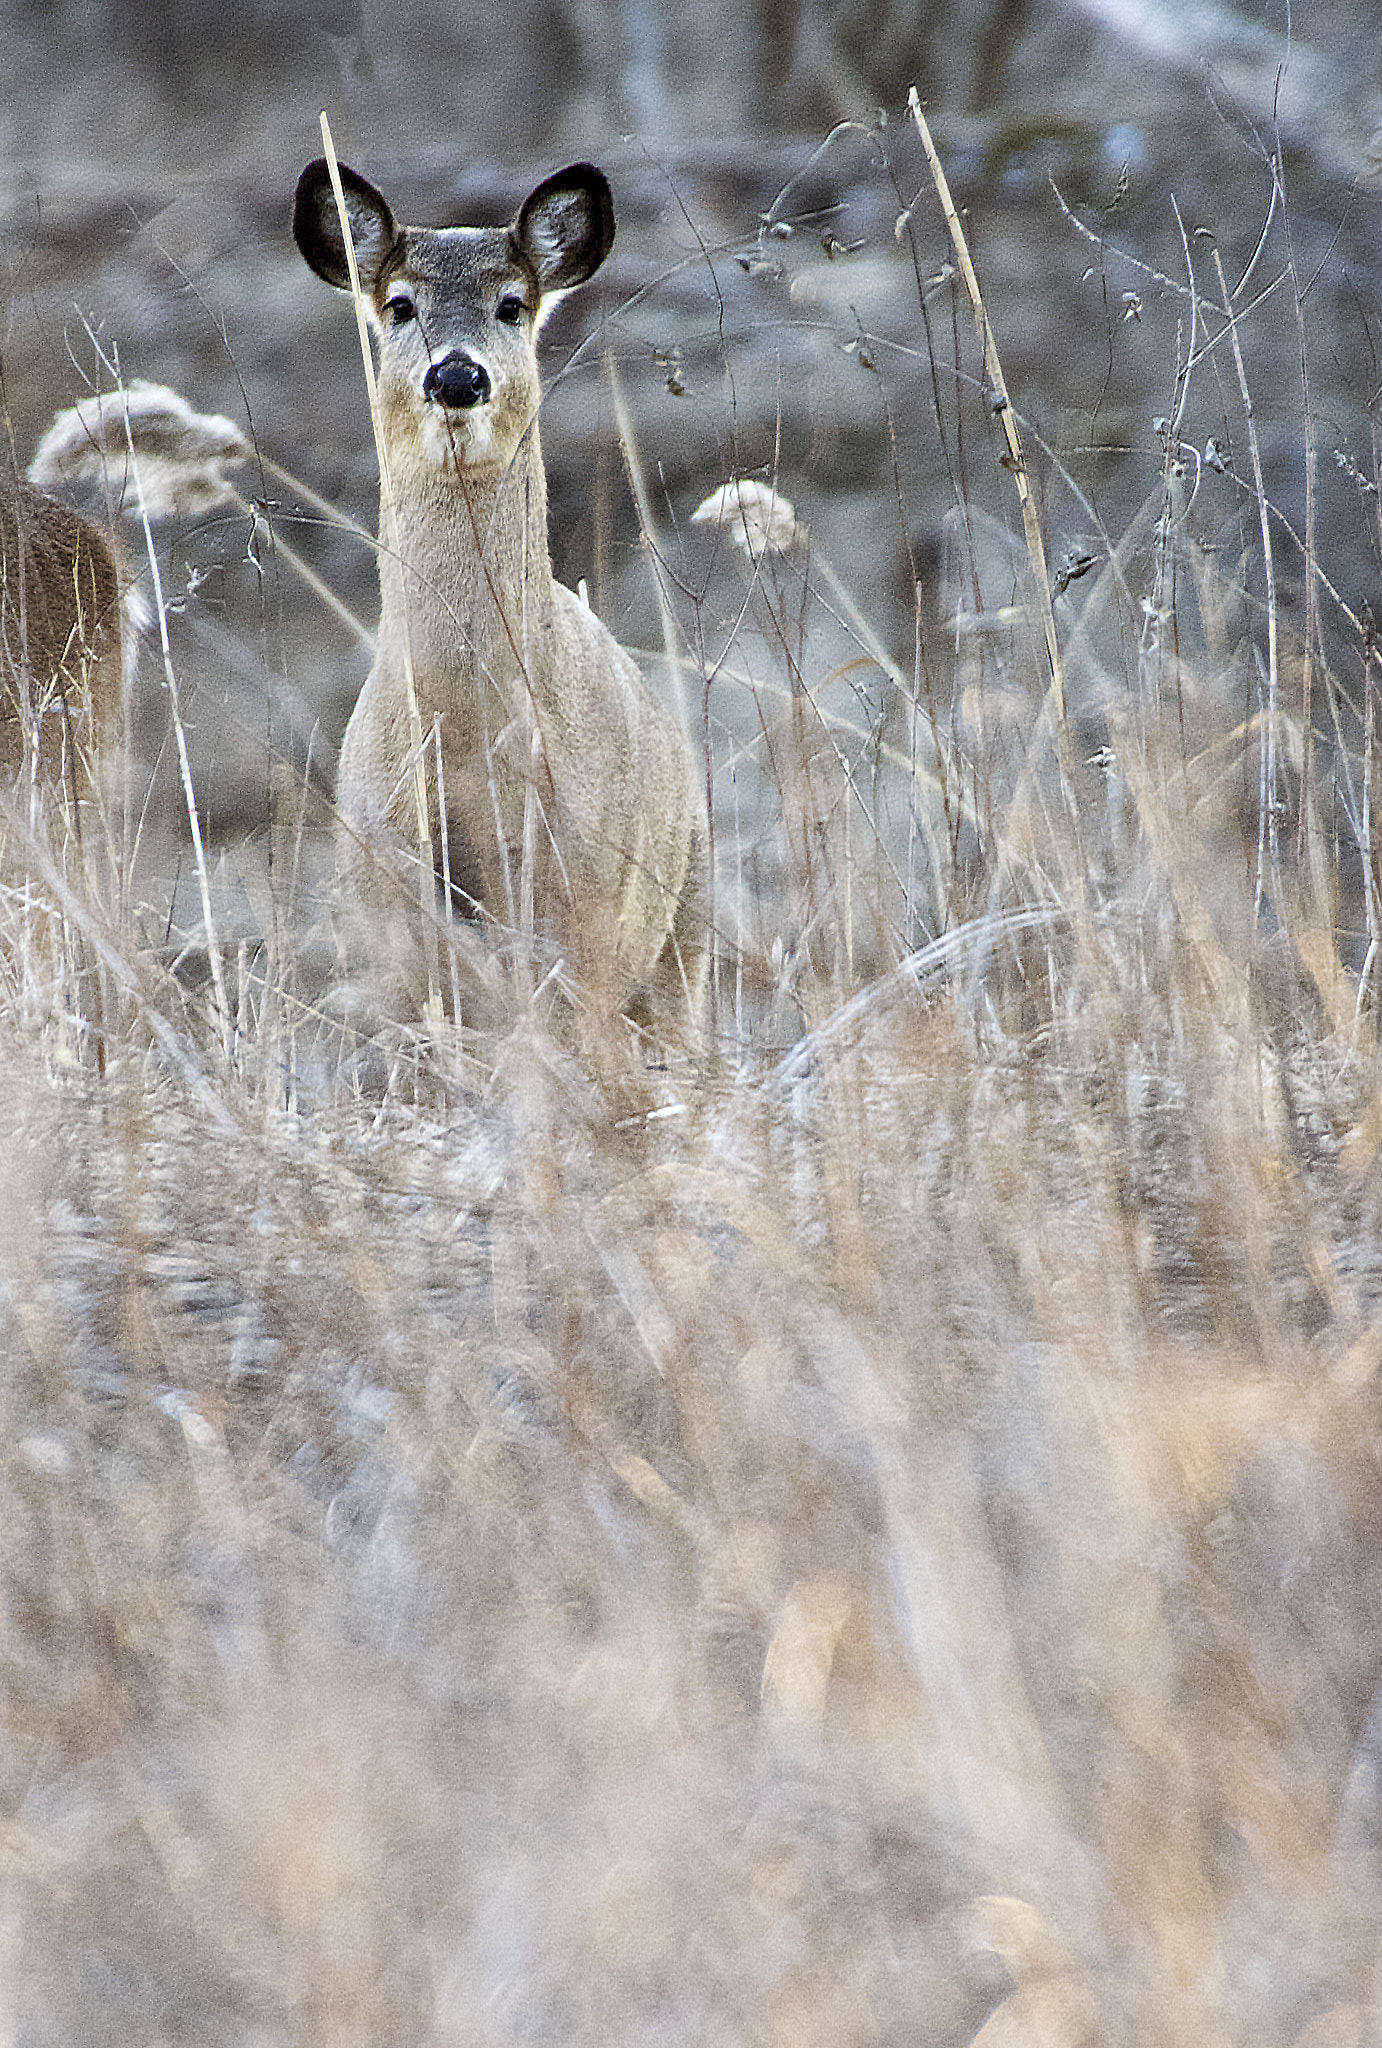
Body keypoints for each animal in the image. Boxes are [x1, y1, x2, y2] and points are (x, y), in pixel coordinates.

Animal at [288, 155, 704, 1040]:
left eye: (512, 304)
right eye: (399, 304)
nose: (456, 374)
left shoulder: (583, 915)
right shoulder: (392, 928)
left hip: (681, 926)